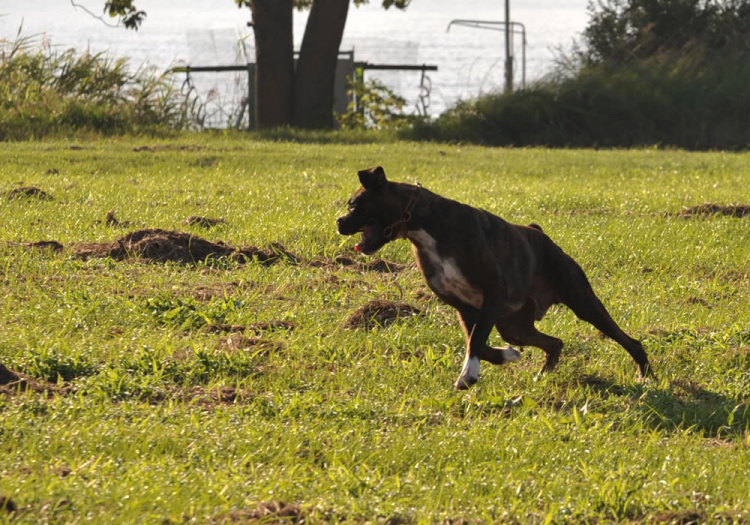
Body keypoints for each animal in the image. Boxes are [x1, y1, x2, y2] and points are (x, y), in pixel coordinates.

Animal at [338, 166, 656, 386]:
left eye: (353, 205)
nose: (339, 221)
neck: (425, 226)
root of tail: (540, 234)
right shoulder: (465, 307)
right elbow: (476, 342)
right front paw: (505, 357)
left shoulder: (493, 294)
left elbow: (477, 341)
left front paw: (468, 375)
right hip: (514, 325)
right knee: (553, 342)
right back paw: (543, 373)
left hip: (583, 303)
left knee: (628, 340)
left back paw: (645, 375)